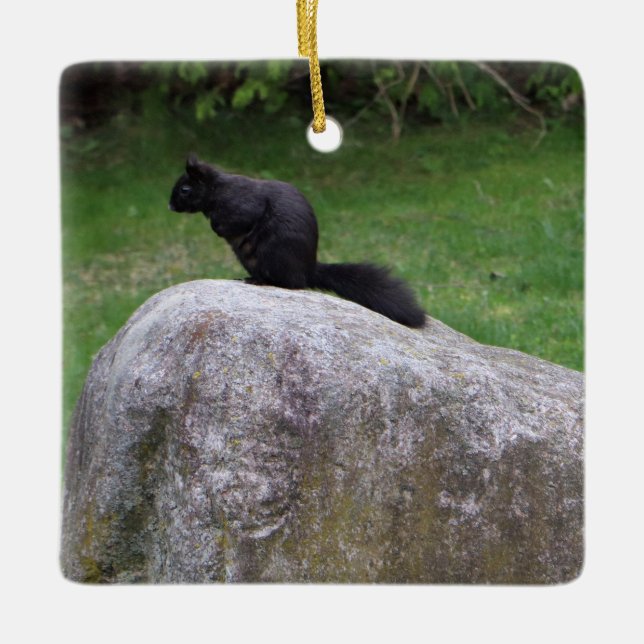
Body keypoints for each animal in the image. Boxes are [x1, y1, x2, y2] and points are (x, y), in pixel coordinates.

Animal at [168, 154, 426, 328]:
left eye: (185, 189)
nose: (169, 206)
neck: (216, 190)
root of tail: (308, 270)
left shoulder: (243, 204)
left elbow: (236, 220)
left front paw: (217, 227)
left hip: (275, 255)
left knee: (291, 283)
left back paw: (262, 281)